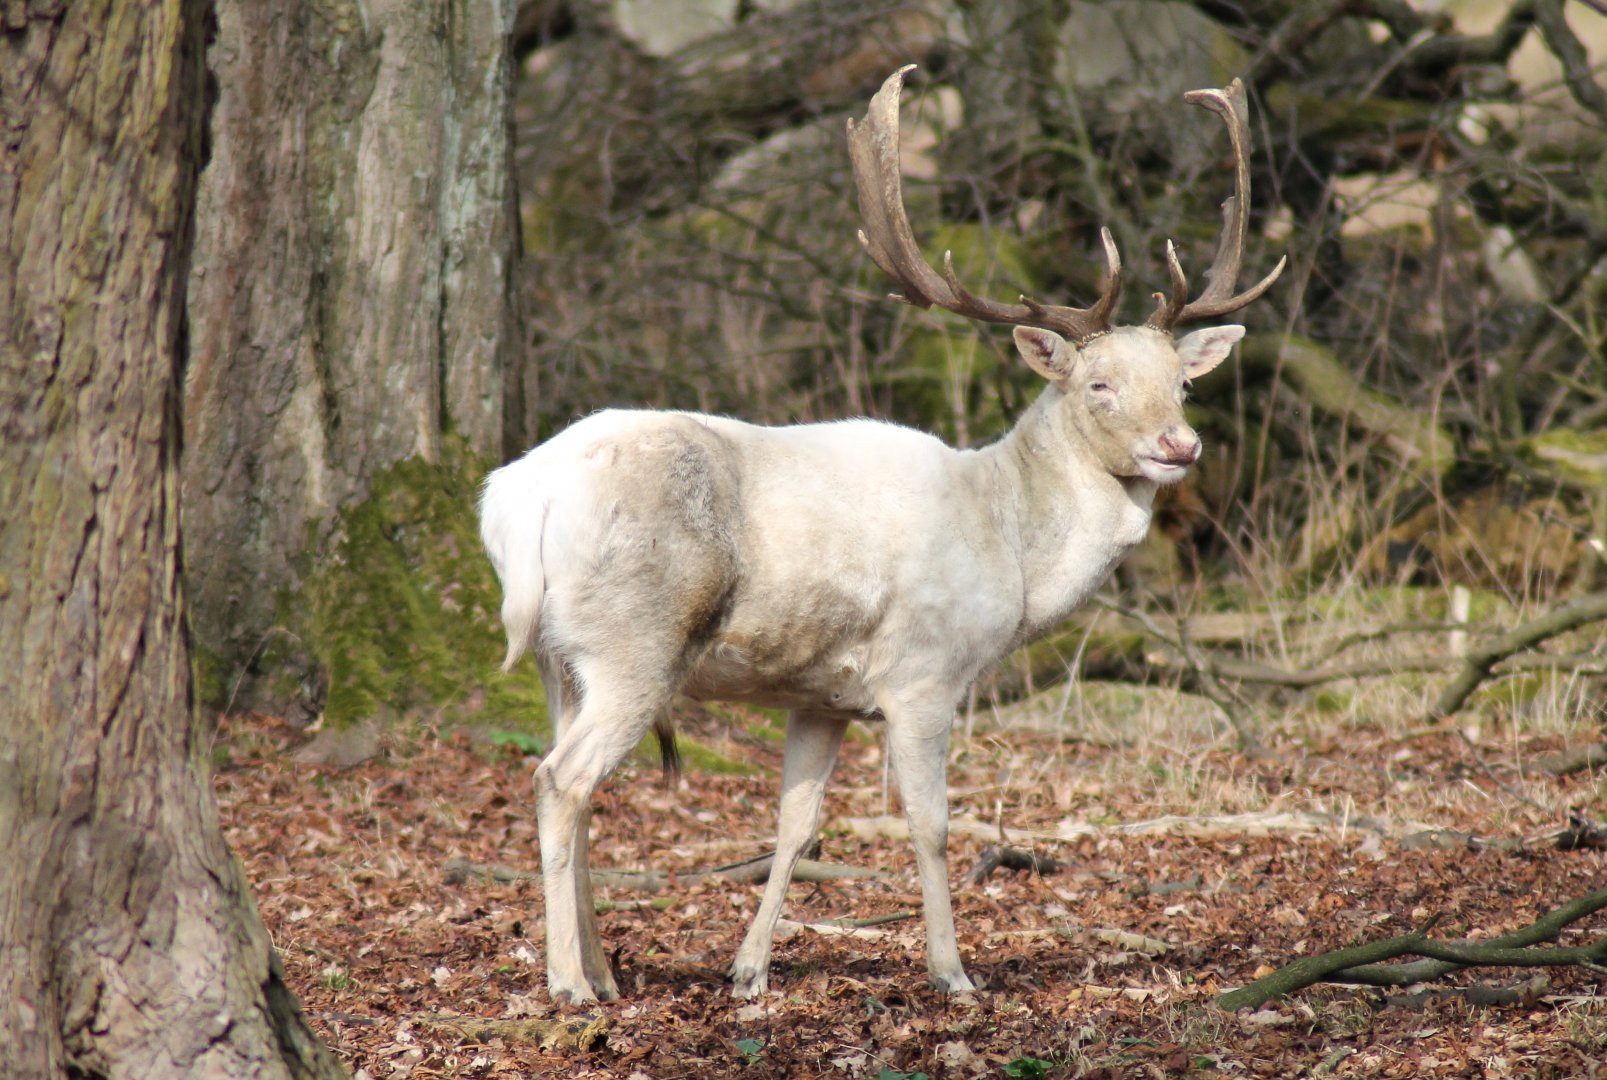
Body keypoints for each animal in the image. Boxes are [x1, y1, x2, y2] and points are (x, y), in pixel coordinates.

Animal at [479, 64, 1285, 1004]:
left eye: (1182, 385)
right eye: (1098, 384)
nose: (1178, 446)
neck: (1008, 549)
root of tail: (516, 498)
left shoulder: (818, 697)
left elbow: (796, 826)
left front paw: (748, 971)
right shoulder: (924, 673)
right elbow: (931, 824)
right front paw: (953, 971)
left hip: (558, 655)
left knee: (564, 774)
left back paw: (605, 974)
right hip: (634, 639)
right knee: (558, 779)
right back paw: (569, 984)